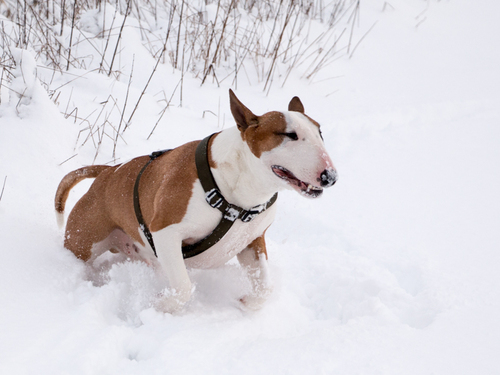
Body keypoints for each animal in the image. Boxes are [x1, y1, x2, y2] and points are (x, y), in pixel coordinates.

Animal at [54, 89, 338, 312]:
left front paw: (246, 302)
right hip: (83, 243)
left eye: (320, 133)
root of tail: (107, 172)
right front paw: (158, 305)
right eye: (289, 135)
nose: (330, 177)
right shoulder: (165, 232)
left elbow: (265, 288)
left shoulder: (252, 242)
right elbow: (183, 287)